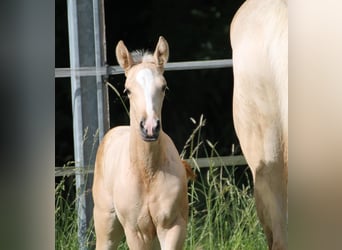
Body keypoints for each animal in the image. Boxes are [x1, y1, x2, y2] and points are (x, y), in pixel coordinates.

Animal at [92, 36, 188, 249]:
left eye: (164, 87)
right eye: (127, 90)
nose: (150, 127)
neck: (147, 173)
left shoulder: (173, 227)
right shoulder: (135, 231)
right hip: (106, 224)